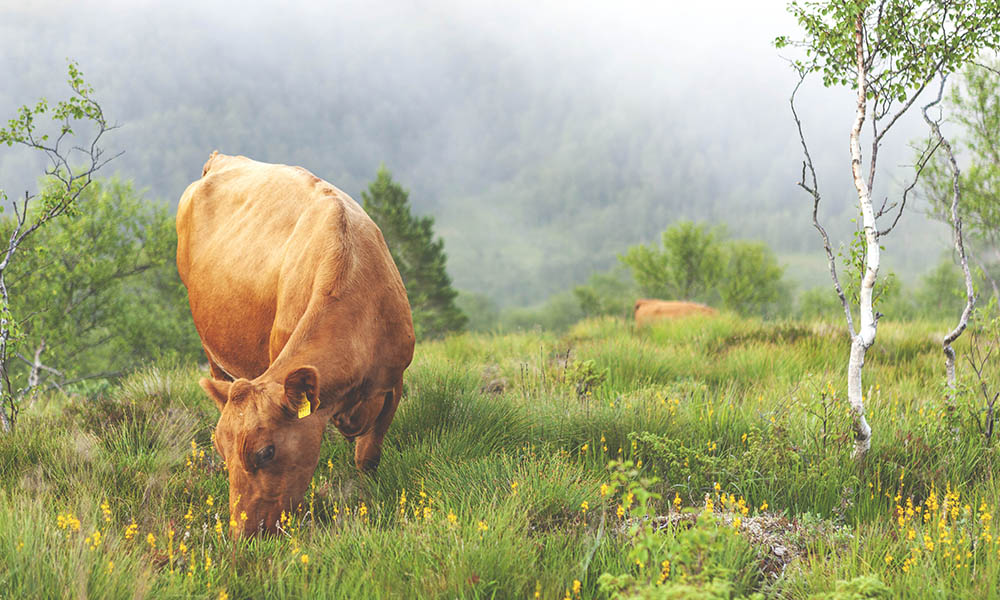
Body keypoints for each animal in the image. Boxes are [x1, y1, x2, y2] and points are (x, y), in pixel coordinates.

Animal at [177, 152, 414, 536]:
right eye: (220, 451)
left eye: (266, 452)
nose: (242, 534)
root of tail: (222, 159)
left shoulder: (393, 381)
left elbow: (367, 456)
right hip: (213, 352)